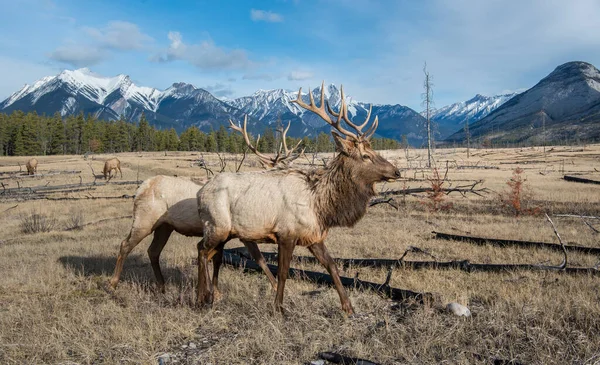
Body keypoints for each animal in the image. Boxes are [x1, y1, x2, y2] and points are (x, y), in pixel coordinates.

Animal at [108, 123, 302, 294]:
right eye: (282, 170)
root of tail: (140, 188)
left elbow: (220, 259)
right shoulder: (242, 231)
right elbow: (258, 258)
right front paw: (277, 288)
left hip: (164, 226)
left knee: (153, 251)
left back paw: (162, 286)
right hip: (144, 220)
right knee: (125, 245)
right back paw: (113, 284)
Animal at [197, 82, 400, 312]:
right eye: (366, 156)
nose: (396, 172)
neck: (320, 207)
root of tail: (199, 192)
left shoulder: (314, 235)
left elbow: (332, 266)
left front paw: (348, 307)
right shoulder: (286, 233)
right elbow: (283, 272)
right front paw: (278, 307)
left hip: (227, 232)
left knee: (206, 253)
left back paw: (205, 295)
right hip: (217, 226)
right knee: (202, 251)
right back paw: (204, 297)